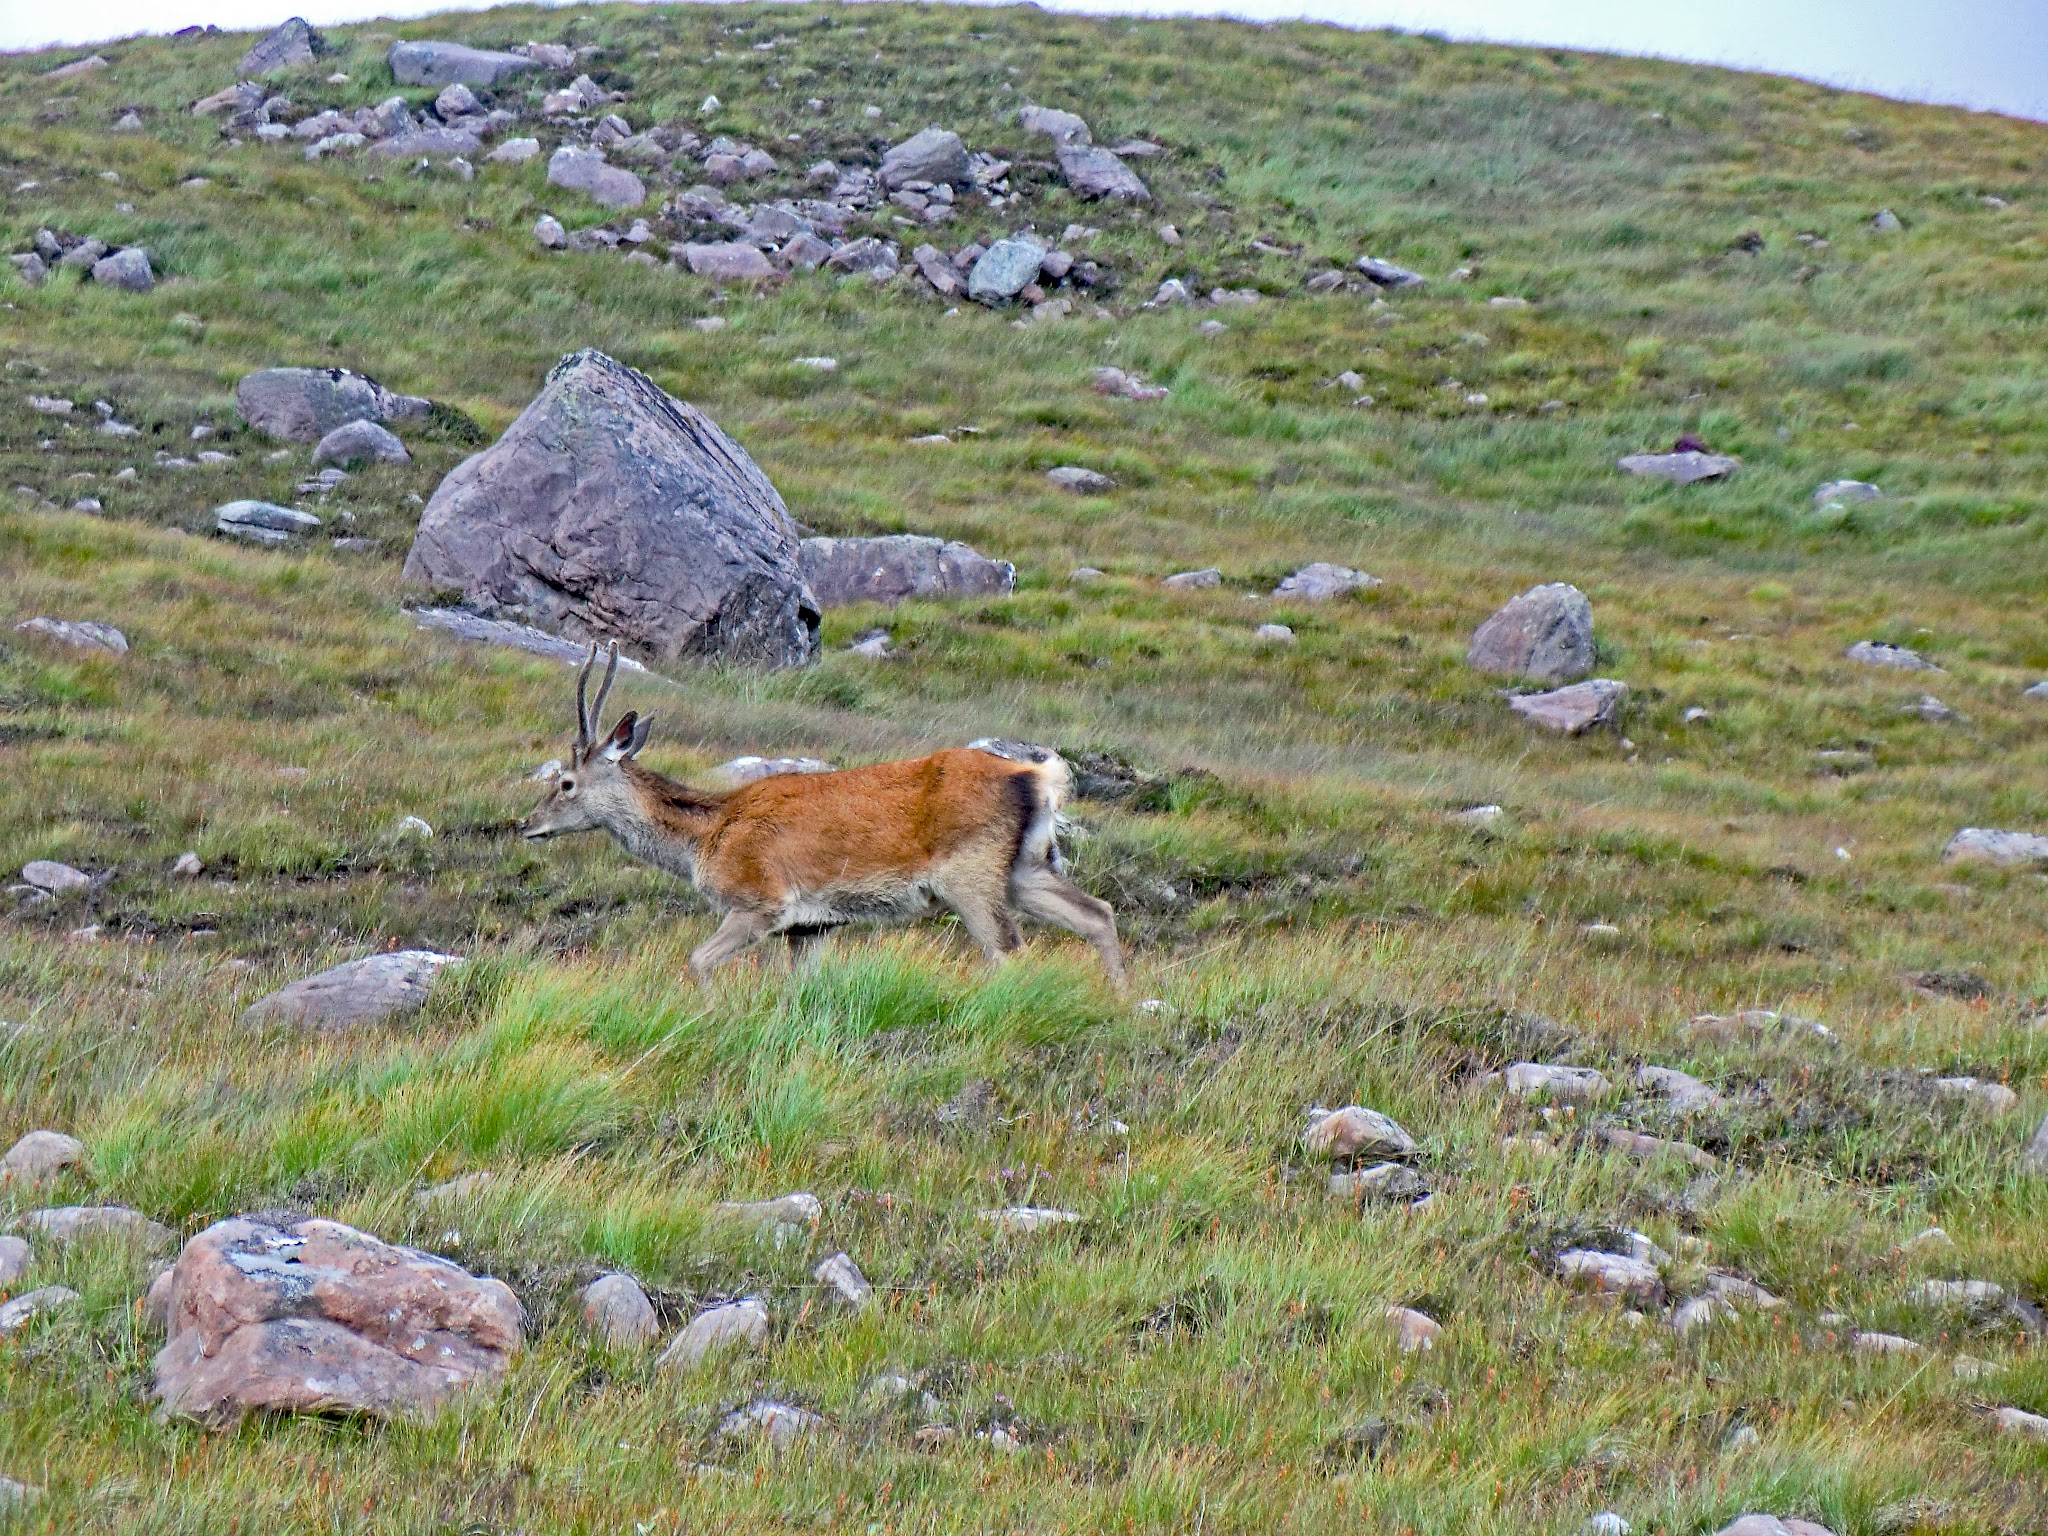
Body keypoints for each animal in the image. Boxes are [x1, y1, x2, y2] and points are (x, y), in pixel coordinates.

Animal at [521, 644, 1126, 987]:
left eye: (565, 782)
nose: (527, 824)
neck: (705, 839)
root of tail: (1039, 778)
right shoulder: (812, 925)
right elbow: (801, 990)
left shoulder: (761, 901)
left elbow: (698, 961)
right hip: (1027, 865)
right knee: (1097, 912)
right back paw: (1121, 1002)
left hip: (970, 871)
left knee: (1010, 951)